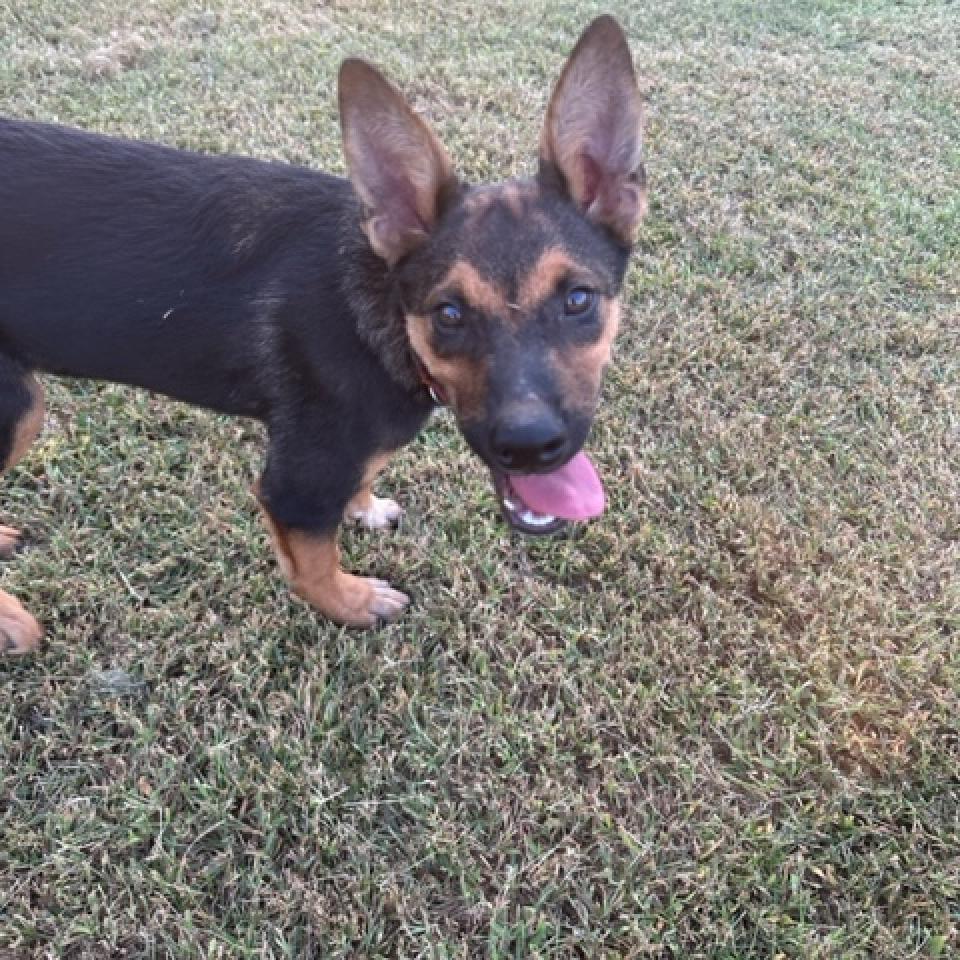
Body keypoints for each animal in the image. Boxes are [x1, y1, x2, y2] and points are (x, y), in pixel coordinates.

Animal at [0, 13, 648, 652]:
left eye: (578, 300)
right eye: (448, 314)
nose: (531, 447)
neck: (382, 314)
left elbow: (360, 479)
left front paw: (364, 508)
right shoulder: (295, 484)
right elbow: (312, 564)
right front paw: (352, 603)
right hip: (20, 407)